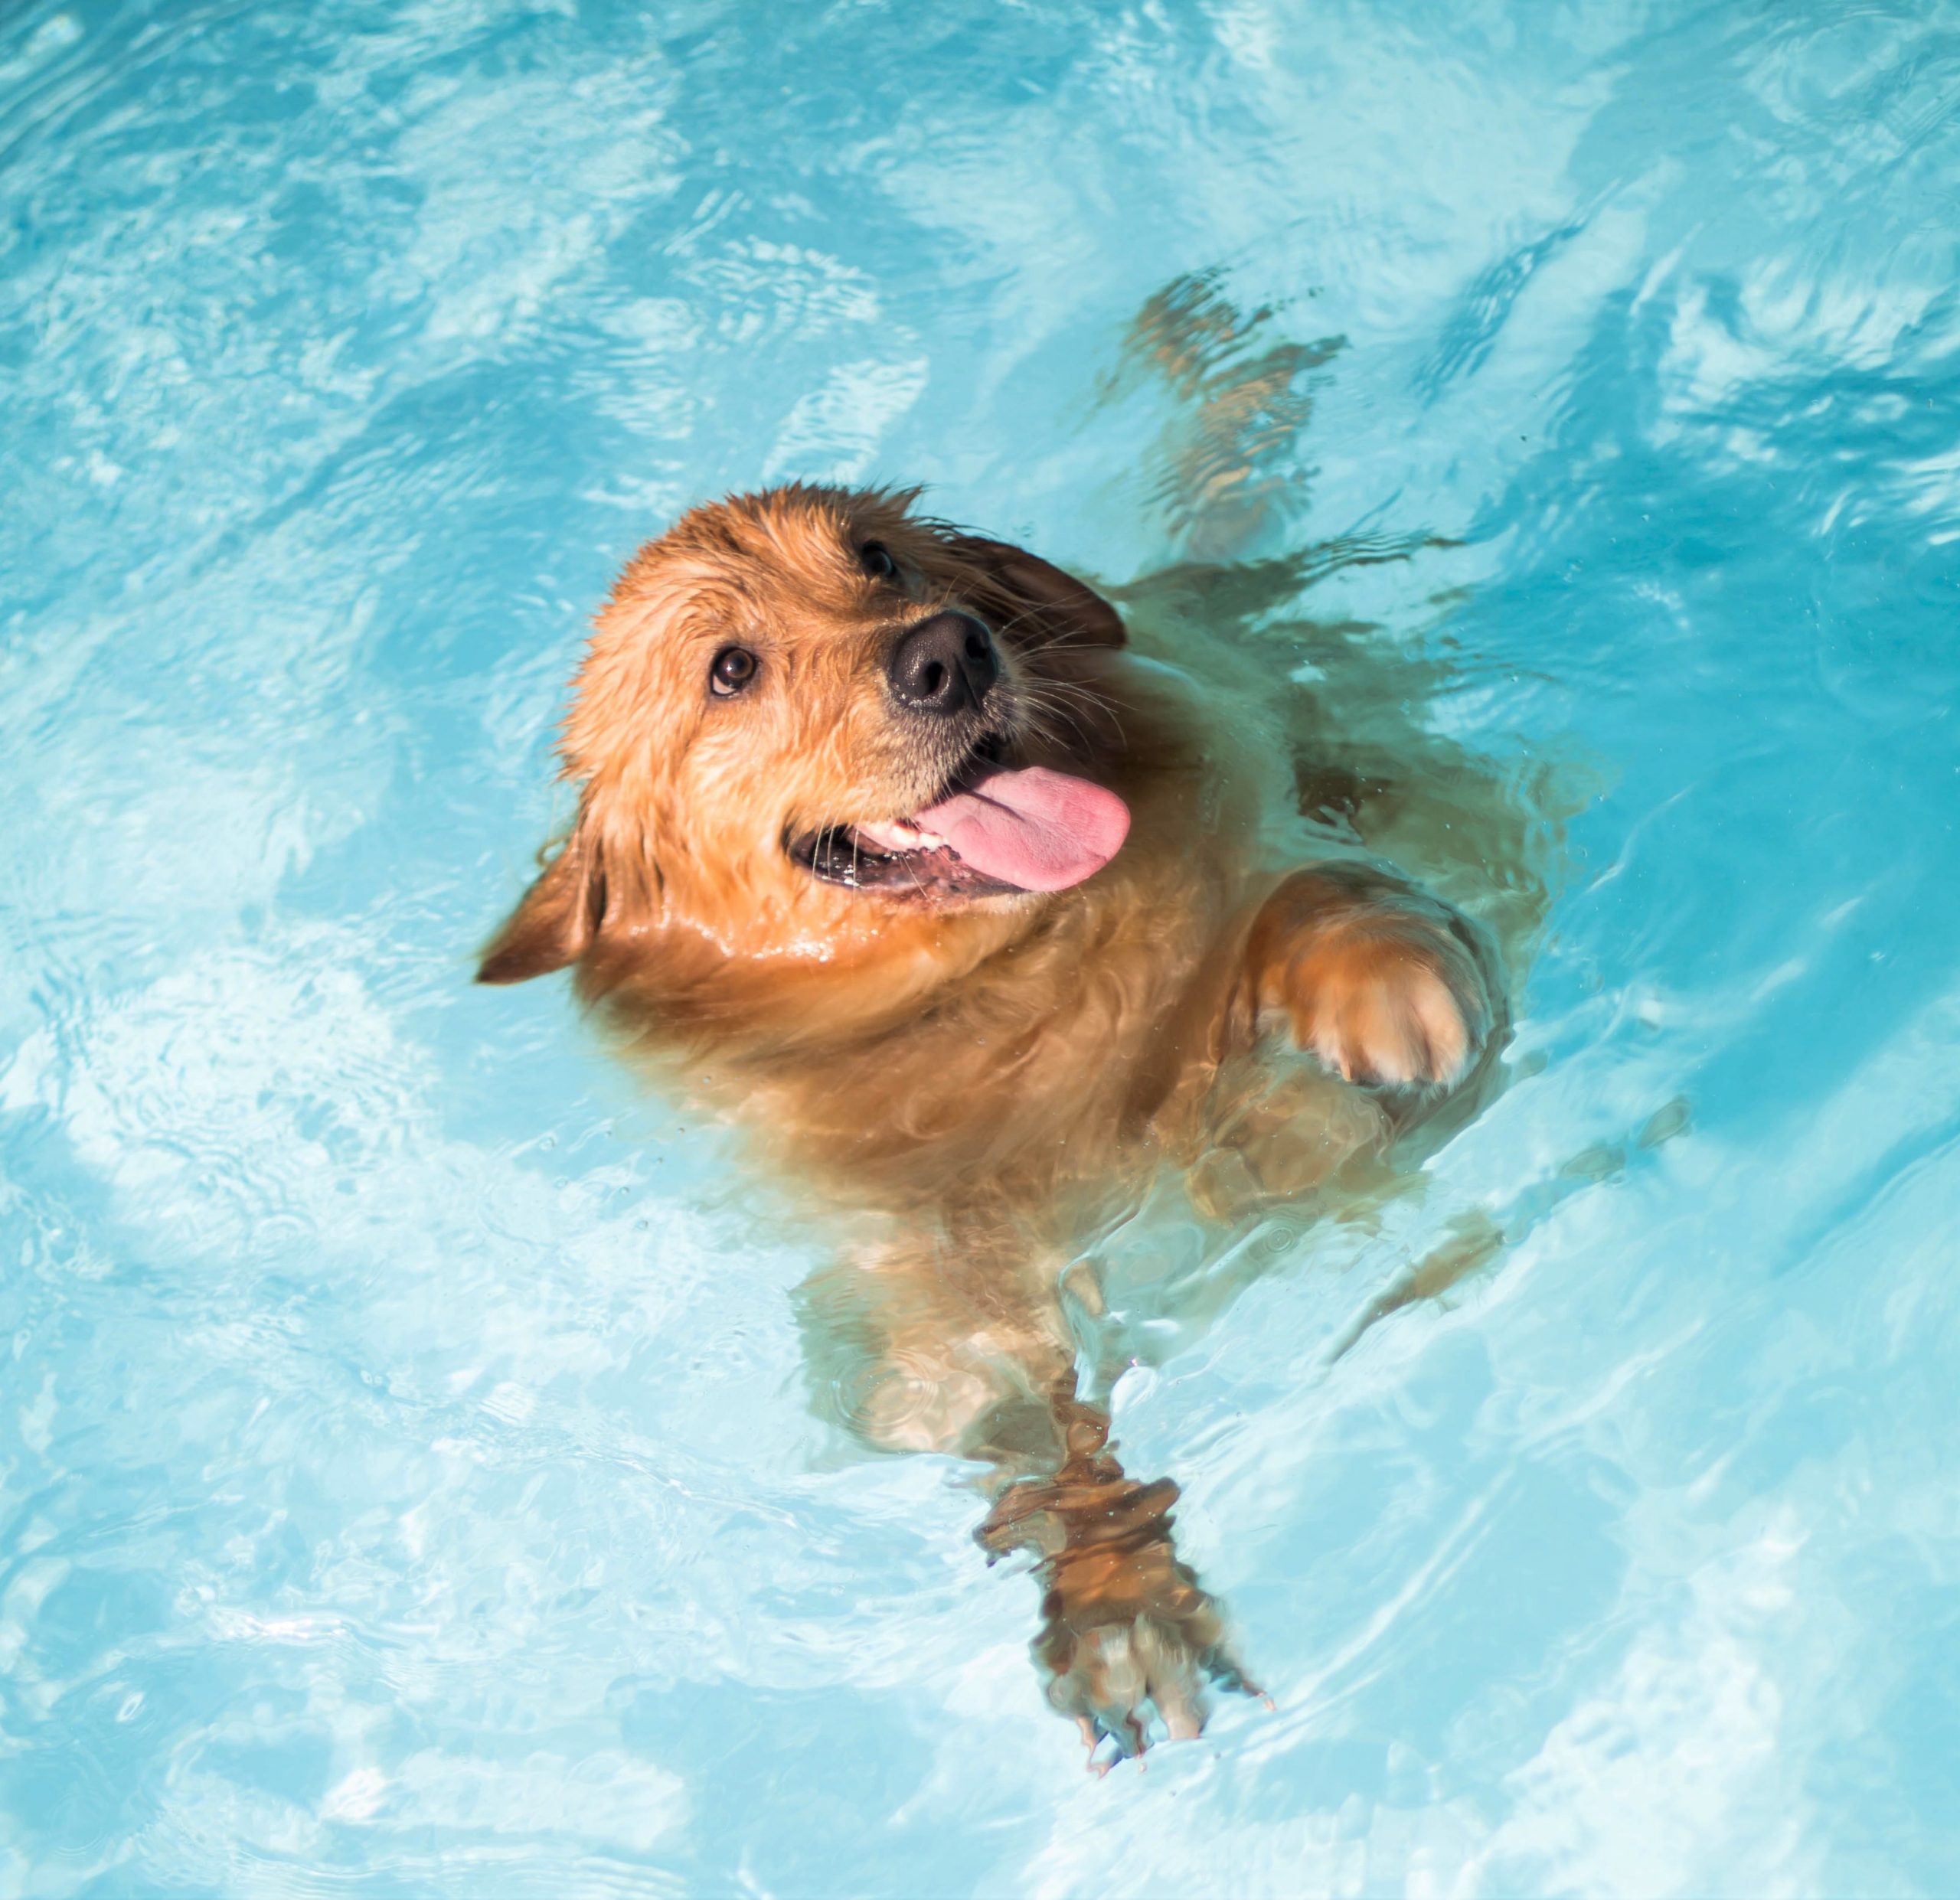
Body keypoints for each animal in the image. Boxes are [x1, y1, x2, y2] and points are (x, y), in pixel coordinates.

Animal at [482, 482, 1489, 1755]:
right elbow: (1034, 1436)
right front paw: (1115, 1592)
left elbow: (1293, 889)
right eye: (730, 669)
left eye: (877, 557)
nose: (947, 652)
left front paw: (1374, 970)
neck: (992, 976)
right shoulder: (935, 1304)